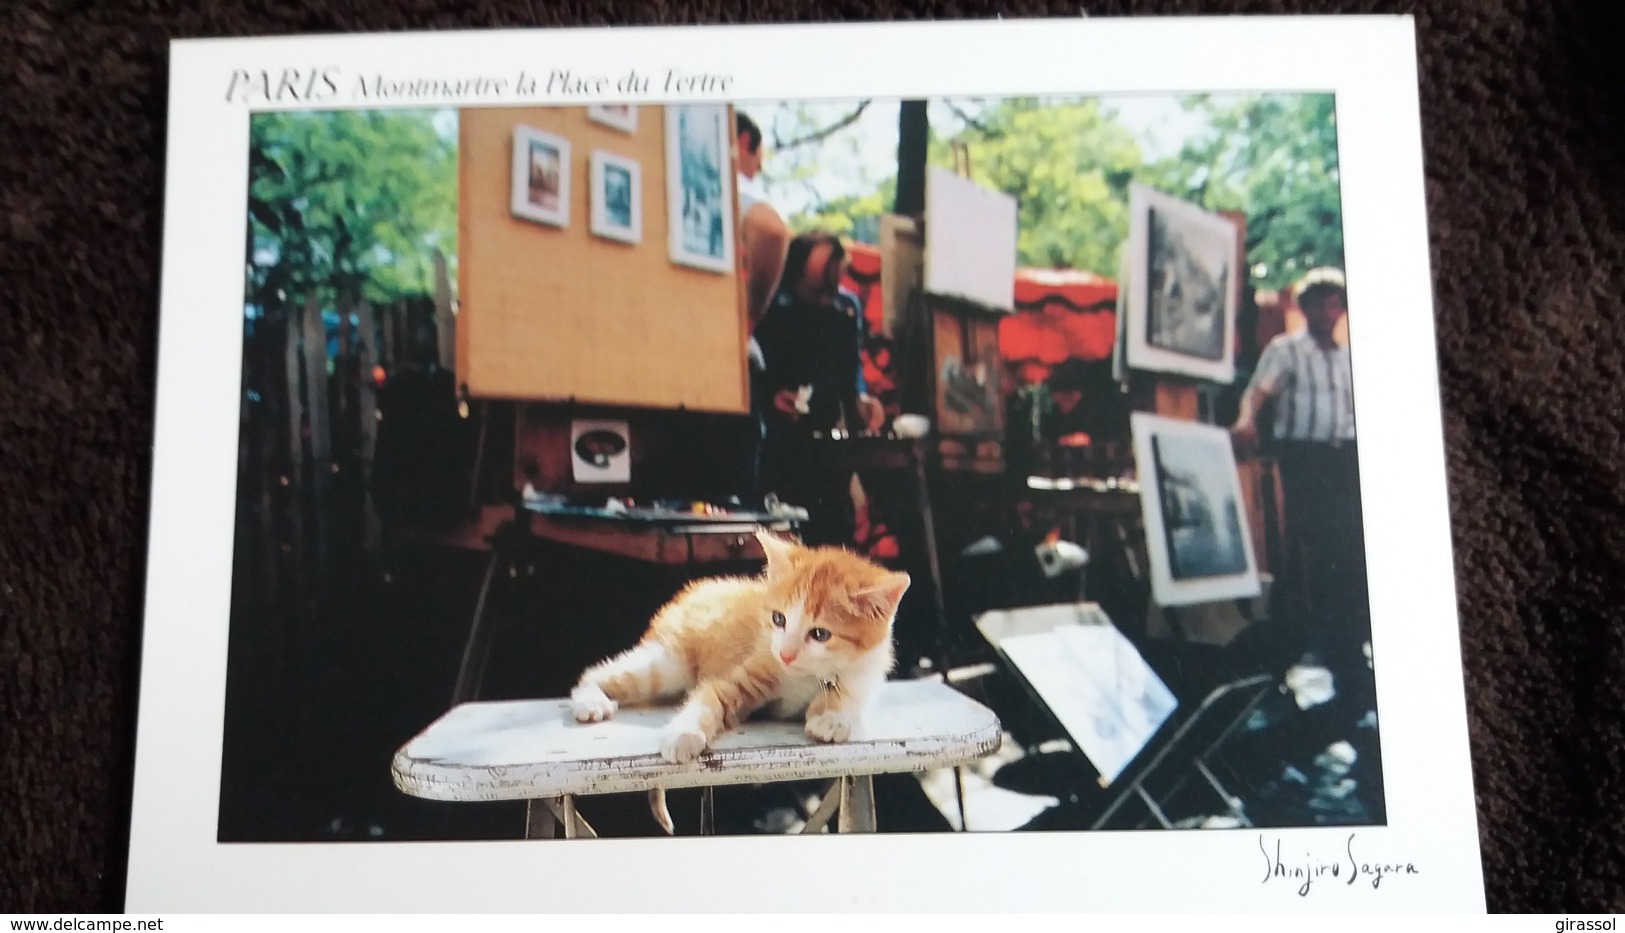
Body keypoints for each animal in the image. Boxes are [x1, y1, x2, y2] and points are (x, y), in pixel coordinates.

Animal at [572, 533, 910, 832]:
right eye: (778, 619)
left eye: (820, 634)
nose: (785, 654)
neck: (807, 676)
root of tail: (692, 592)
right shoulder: (754, 666)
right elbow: (711, 698)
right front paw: (684, 735)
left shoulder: (865, 672)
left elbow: (850, 697)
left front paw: (834, 718)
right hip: (668, 664)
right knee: (601, 672)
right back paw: (590, 701)